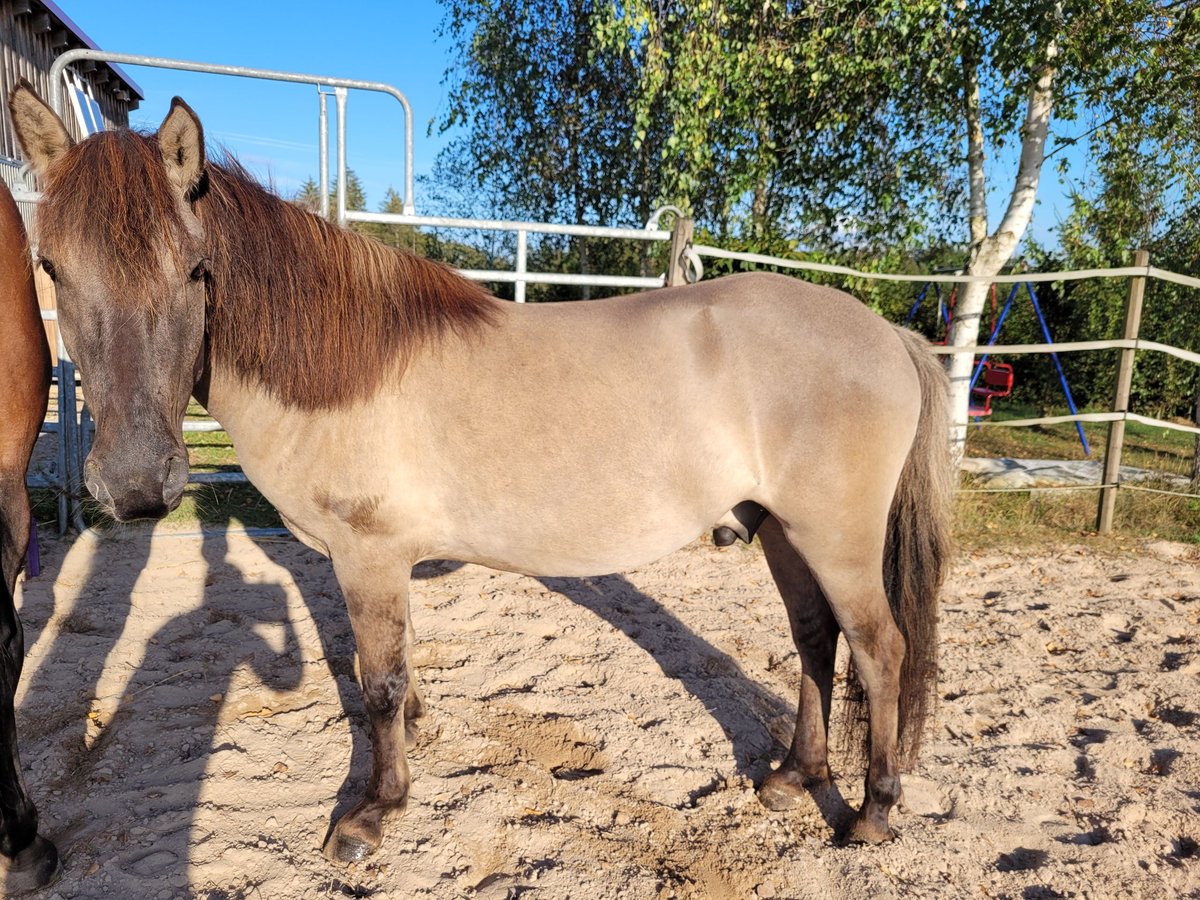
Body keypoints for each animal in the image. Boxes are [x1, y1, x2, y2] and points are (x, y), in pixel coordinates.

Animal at [9, 81, 952, 865]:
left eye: (196, 269)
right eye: (51, 269)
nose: (136, 484)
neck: (341, 369)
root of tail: (887, 333)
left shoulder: (368, 556)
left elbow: (378, 682)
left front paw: (373, 812)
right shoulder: (382, 562)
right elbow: (396, 669)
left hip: (834, 537)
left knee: (879, 649)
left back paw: (872, 813)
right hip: (783, 529)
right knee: (815, 637)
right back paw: (794, 777)